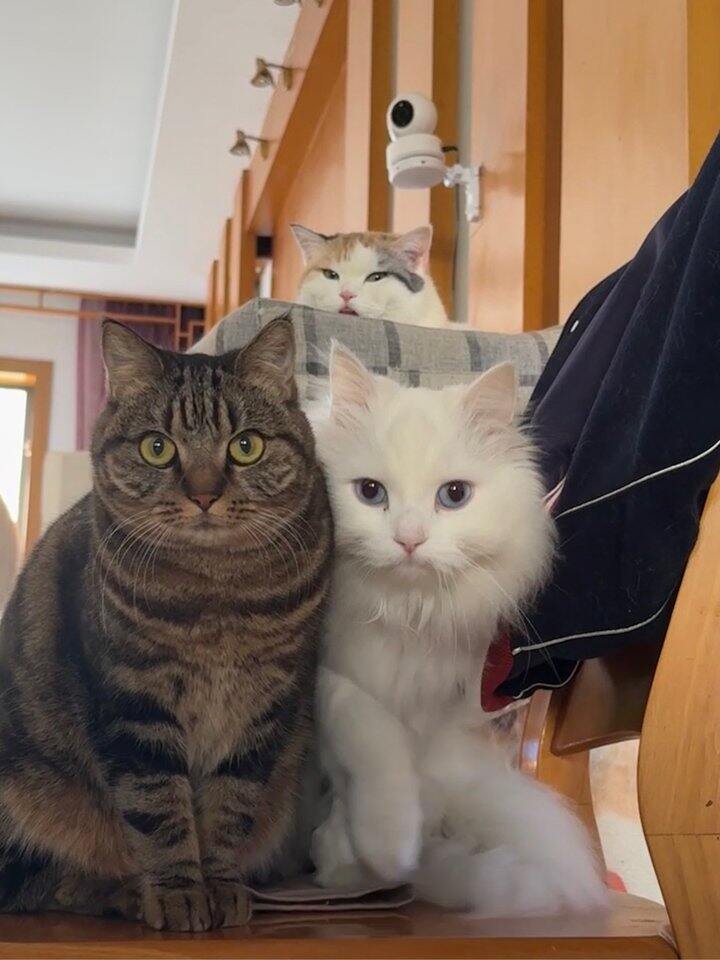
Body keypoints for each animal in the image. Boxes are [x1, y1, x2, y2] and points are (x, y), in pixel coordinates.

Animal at [0, 318, 333, 931]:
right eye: (158, 448)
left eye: (246, 446)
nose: (204, 495)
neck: (218, 595)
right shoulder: (135, 703)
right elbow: (158, 807)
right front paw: (179, 892)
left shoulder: (265, 706)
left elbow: (230, 807)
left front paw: (221, 887)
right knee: (41, 883)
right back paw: (125, 893)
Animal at [308, 344, 608, 916]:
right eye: (370, 493)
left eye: (453, 496)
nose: (408, 539)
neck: (402, 612)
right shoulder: (325, 678)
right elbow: (371, 733)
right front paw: (380, 850)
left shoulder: (436, 708)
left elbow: (405, 772)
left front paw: (377, 857)